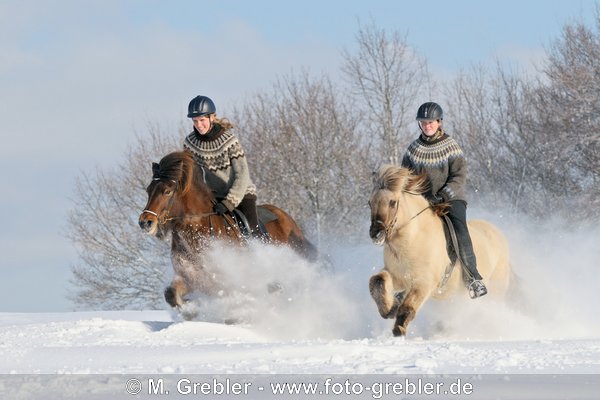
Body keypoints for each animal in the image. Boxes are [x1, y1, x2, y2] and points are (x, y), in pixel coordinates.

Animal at [139, 150, 318, 310]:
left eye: (167, 191)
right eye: (148, 190)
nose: (145, 222)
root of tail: (289, 221)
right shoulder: (191, 277)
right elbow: (171, 294)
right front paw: (191, 310)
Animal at [366, 164, 510, 336]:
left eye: (393, 202)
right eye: (369, 203)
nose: (376, 234)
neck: (412, 239)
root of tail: (499, 235)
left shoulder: (424, 283)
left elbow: (408, 306)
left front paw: (399, 329)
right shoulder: (399, 277)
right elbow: (377, 281)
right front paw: (389, 309)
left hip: (494, 290)